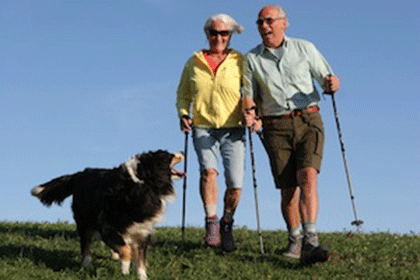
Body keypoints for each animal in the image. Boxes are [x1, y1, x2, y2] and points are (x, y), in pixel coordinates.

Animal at [30, 151, 185, 280]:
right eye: (170, 155)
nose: (182, 151)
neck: (144, 182)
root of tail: (80, 174)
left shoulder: (142, 231)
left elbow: (140, 258)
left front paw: (142, 276)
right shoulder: (107, 225)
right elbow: (126, 250)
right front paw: (125, 269)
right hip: (85, 221)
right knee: (86, 245)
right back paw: (87, 264)